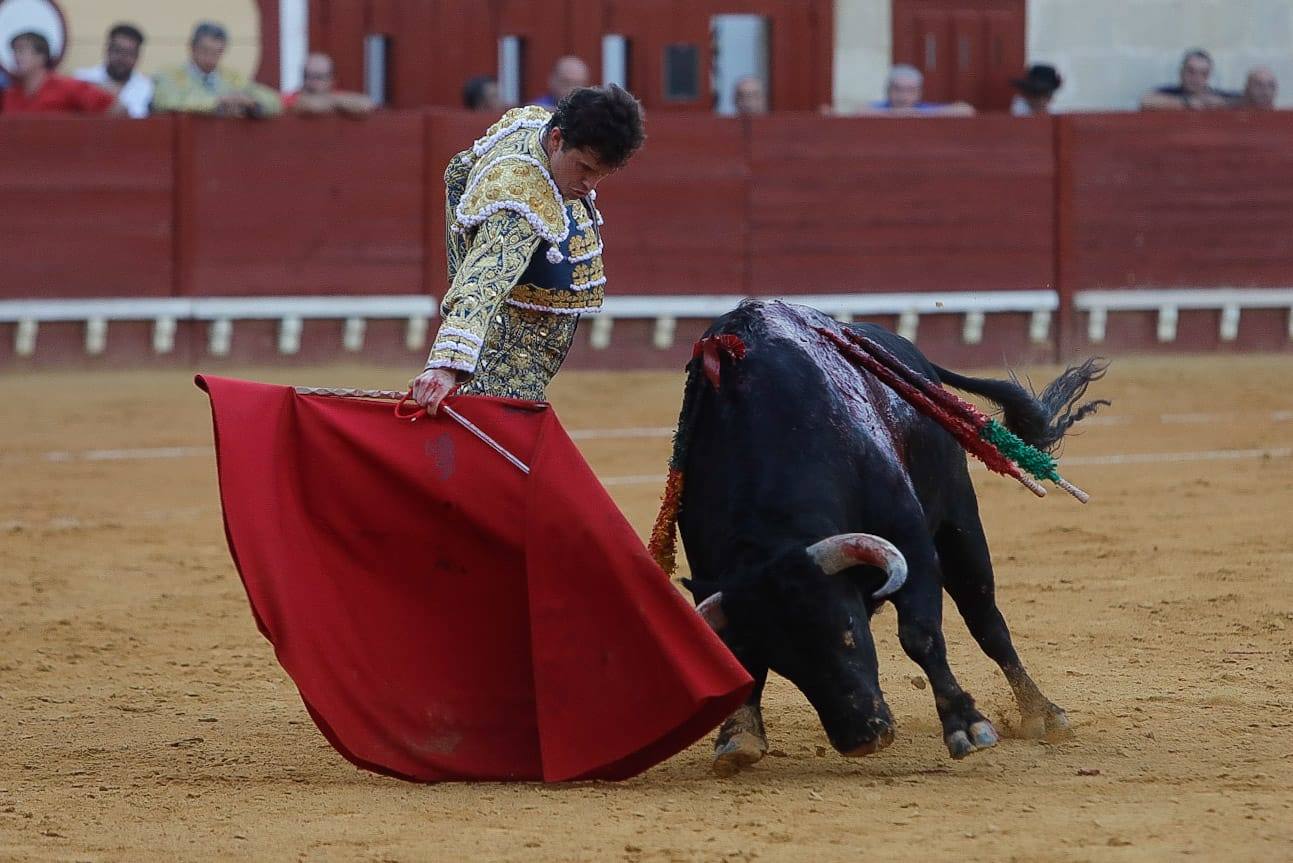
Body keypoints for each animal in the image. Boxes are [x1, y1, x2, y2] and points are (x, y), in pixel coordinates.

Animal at [672, 298, 1106, 776]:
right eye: (782, 661)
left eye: (848, 629)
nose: (862, 737)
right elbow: (736, 653)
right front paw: (739, 735)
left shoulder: (912, 544)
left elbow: (920, 634)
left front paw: (967, 725)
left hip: (959, 523)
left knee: (987, 621)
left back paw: (1041, 714)